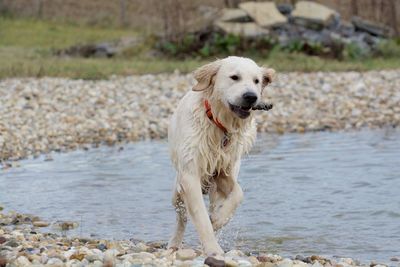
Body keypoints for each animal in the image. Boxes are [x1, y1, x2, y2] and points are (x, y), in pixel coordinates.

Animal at [166, 56, 276, 255]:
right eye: (234, 77)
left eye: (256, 81)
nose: (251, 97)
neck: (218, 123)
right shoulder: (189, 174)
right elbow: (200, 216)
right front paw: (213, 250)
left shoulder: (222, 172)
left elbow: (238, 193)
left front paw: (218, 219)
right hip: (177, 190)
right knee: (181, 217)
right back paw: (174, 243)